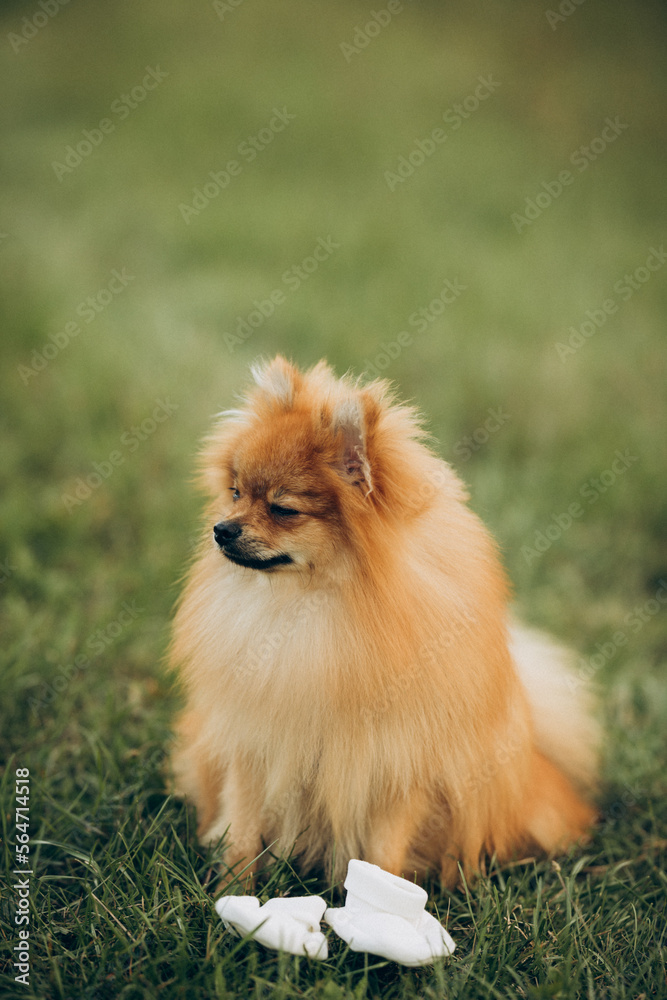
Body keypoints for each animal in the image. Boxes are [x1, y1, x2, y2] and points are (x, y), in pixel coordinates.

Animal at [170, 358, 596, 884]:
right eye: (234, 493)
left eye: (283, 509)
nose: (221, 529)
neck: (315, 606)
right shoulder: (253, 747)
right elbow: (243, 831)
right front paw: (232, 888)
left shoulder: (399, 766)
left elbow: (384, 851)